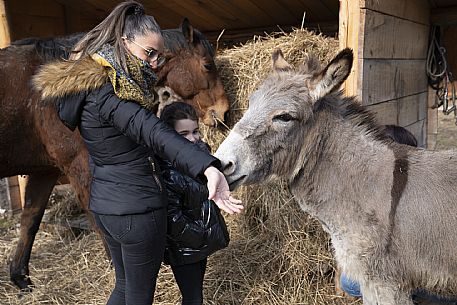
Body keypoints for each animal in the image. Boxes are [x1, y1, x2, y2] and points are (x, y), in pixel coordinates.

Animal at [0, 19, 228, 290]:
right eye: (207, 65)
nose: (224, 112)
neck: (45, 97)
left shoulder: (45, 172)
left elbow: (30, 220)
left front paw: (20, 277)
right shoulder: (79, 165)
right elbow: (98, 219)